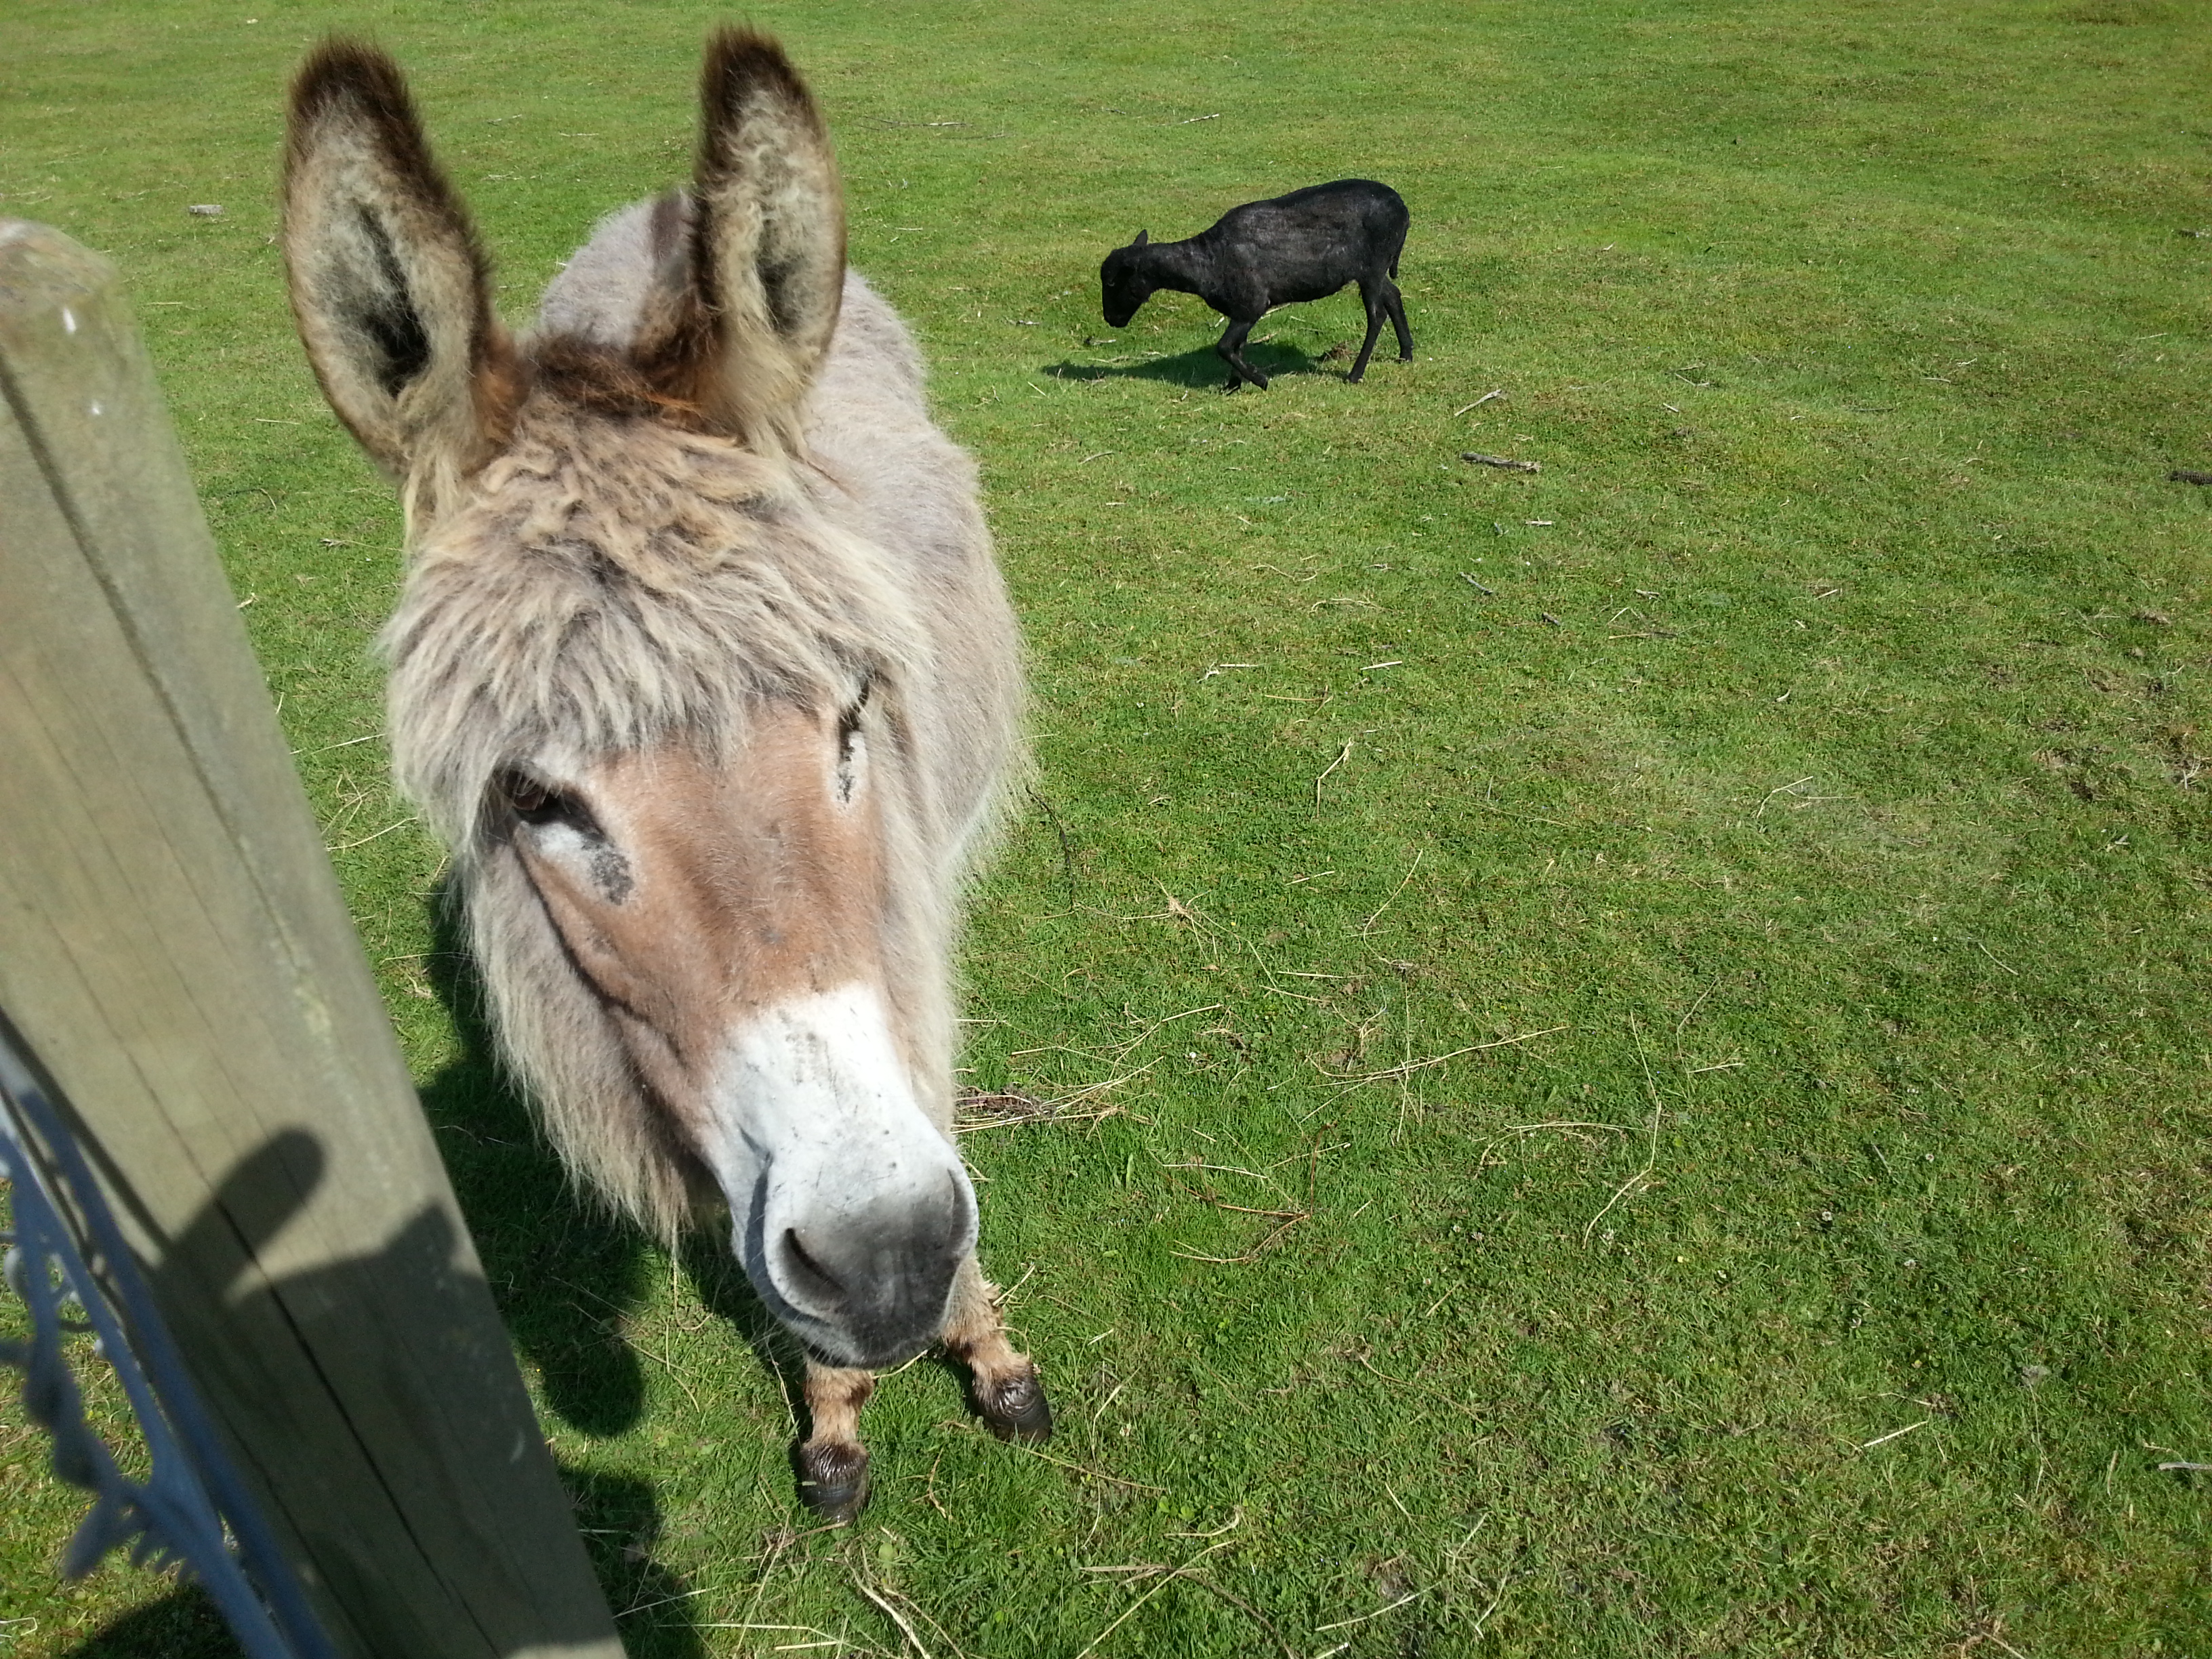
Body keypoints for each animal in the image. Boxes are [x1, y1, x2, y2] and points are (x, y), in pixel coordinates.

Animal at [1097, 178, 1406, 393]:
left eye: (1112, 283)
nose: (1110, 320)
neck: (1205, 261)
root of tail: (1402, 207)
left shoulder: (1252, 305)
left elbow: (1224, 347)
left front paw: (1260, 380)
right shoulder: (1240, 310)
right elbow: (1237, 346)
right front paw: (1232, 387)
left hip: (1372, 267)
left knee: (1377, 315)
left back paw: (1355, 374)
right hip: (1375, 271)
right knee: (1393, 295)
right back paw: (1407, 354)